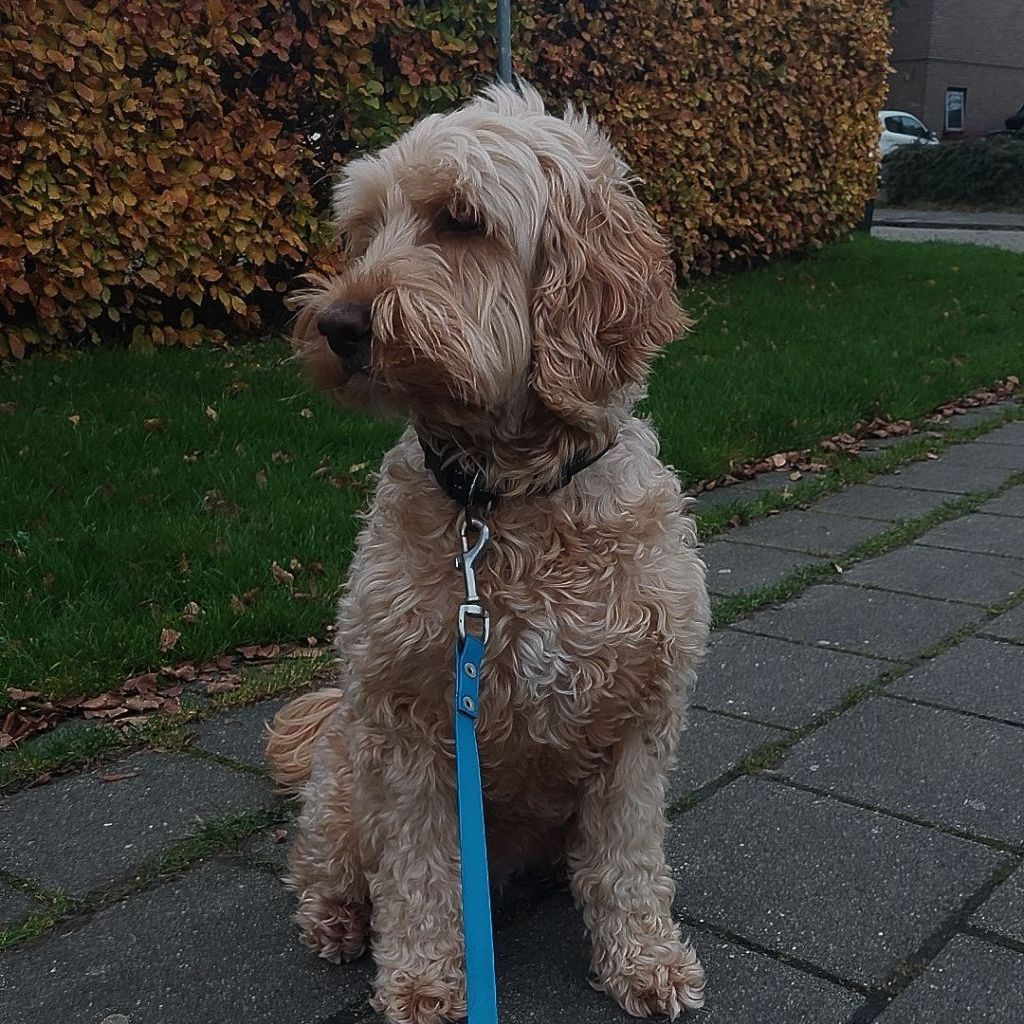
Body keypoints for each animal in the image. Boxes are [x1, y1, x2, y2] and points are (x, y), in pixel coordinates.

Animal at [267, 81, 710, 1024]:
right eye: (361, 230)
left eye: (461, 221)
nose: (337, 324)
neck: (503, 502)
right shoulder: (408, 732)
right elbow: (420, 876)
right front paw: (425, 983)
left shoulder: (639, 726)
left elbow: (626, 863)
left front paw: (645, 960)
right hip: (343, 787)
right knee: (325, 865)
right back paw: (336, 922)